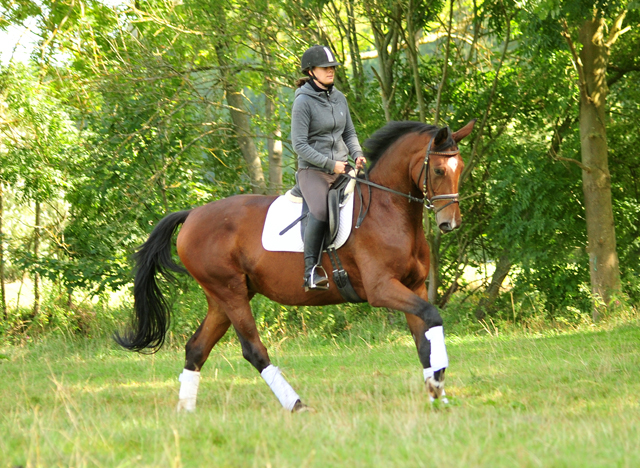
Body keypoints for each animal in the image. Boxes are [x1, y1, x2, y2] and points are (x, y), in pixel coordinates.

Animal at [115, 119, 476, 412]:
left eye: (460, 168)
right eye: (439, 170)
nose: (450, 224)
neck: (390, 210)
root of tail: (192, 215)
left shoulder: (413, 286)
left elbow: (424, 341)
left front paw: (437, 394)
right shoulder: (382, 289)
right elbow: (432, 317)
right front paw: (437, 384)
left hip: (221, 298)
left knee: (196, 349)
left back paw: (186, 411)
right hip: (230, 293)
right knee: (253, 350)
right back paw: (297, 405)